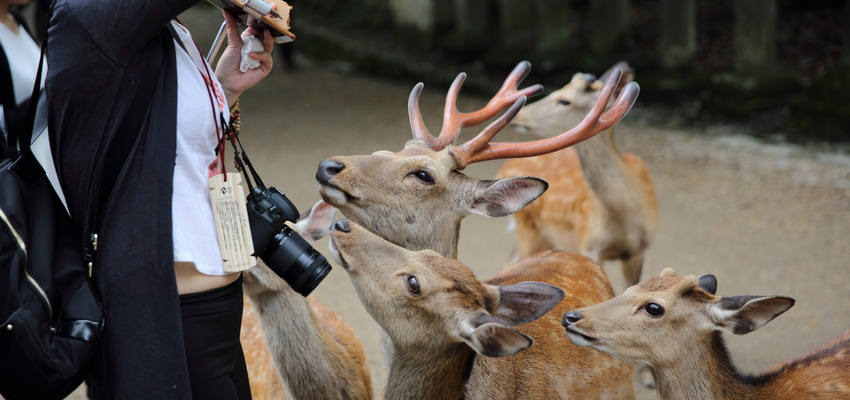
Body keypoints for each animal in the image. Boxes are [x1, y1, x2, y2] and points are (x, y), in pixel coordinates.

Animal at [496, 62, 656, 286]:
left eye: (565, 101)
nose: (520, 114)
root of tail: (504, 167)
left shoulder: (639, 250)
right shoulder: (589, 243)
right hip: (528, 228)